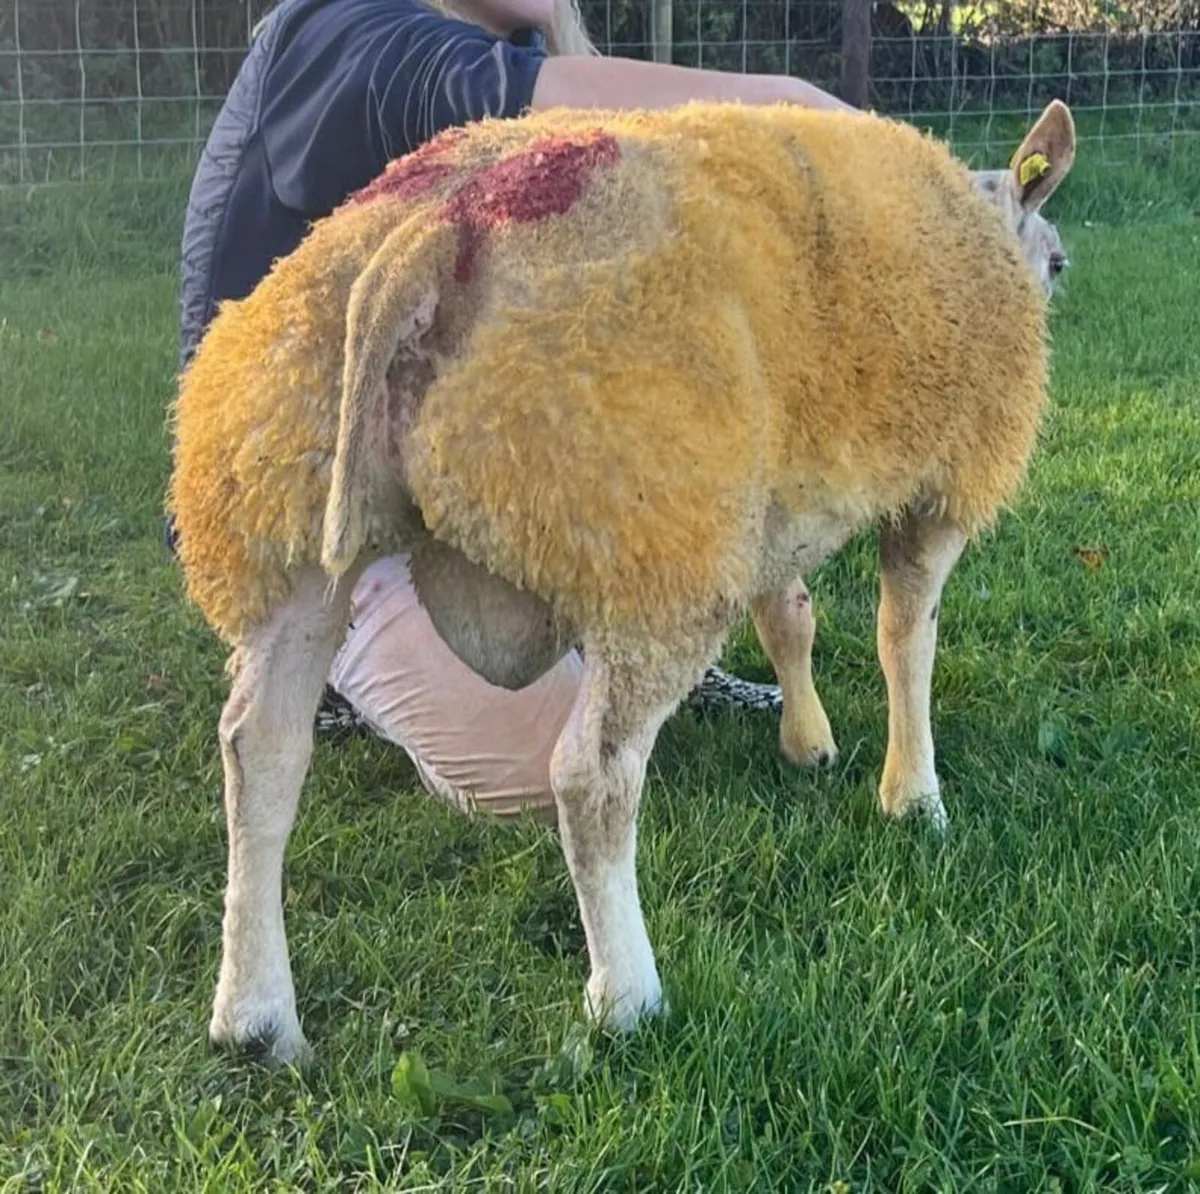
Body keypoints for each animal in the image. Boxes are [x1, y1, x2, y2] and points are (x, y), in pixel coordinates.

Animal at [167, 99, 1076, 1064]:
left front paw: (808, 743)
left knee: (259, 750)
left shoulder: (761, 502)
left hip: (287, 515)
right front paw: (914, 797)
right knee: (590, 778)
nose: (1057, 281)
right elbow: (905, 640)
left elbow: (790, 618)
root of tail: (427, 232)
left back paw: (256, 1015)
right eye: (1057, 262)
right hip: (645, 545)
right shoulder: (938, 485)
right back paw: (627, 997)